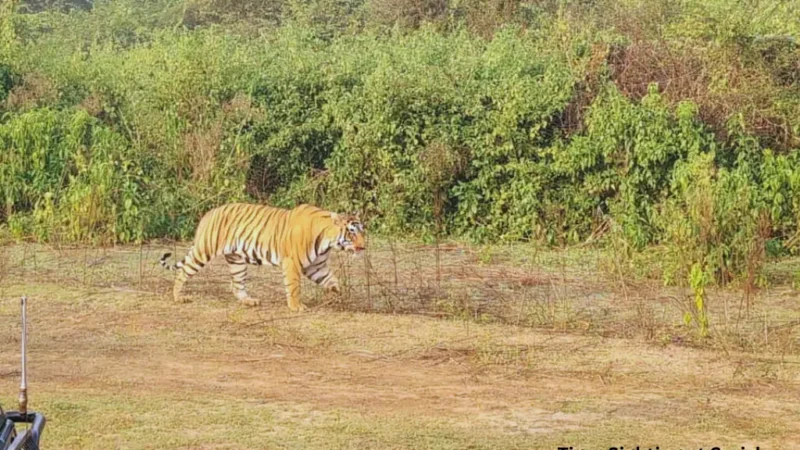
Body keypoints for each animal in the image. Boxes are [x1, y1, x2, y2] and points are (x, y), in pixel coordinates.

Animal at [159, 203, 365, 312]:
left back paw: (249, 301)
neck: (327, 241)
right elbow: (294, 287)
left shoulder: (316, 266)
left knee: (237, 284)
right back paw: (178, 297)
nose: (363, 247)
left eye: (362, 230)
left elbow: (331, 279)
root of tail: (209, 213)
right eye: (352, 232)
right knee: (184, 271)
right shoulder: (292, 263)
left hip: (236, 260)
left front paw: (336, 293)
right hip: (204, 250)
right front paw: (296, 306)